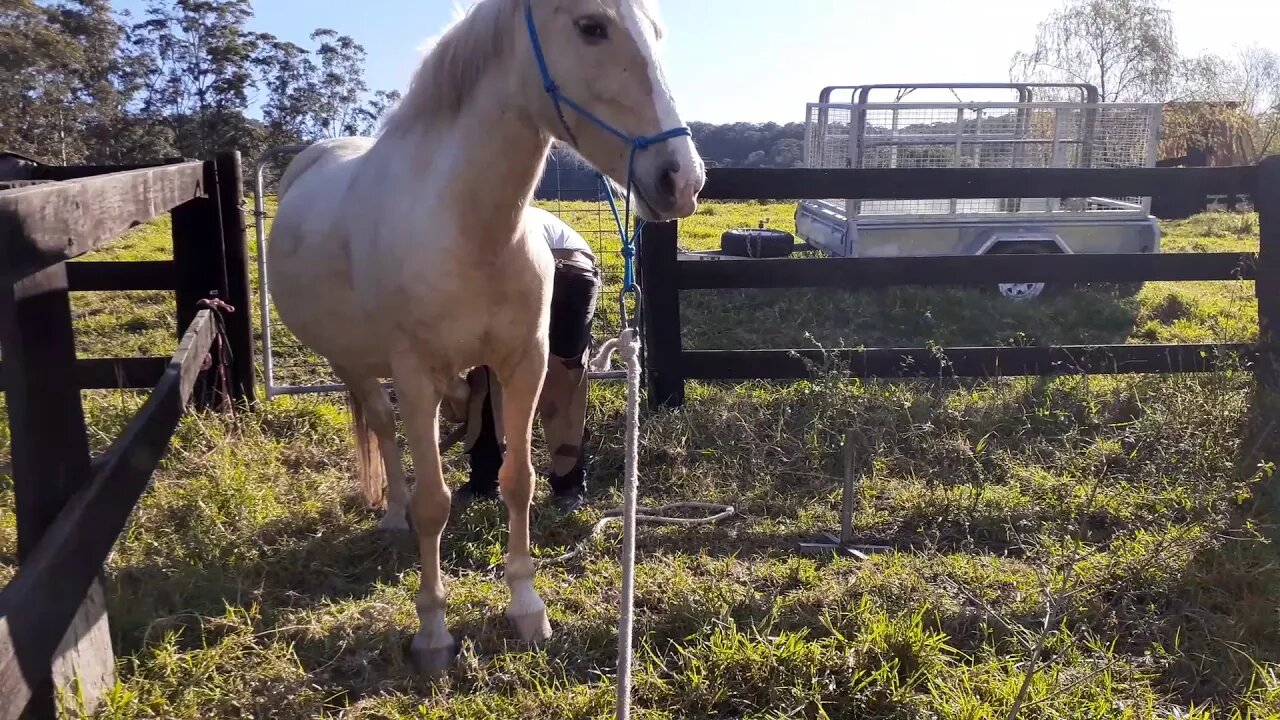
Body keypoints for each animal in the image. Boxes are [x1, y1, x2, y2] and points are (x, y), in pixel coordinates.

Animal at [268, 0, 706, 671]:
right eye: (591, 27)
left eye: (656, 33)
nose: (681, 179)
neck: (467, 228)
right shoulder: (416, 377)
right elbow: (434, 504)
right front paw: (432, 632)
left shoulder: (524, 364)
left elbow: (518, 482)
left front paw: (527, 608)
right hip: (353, 363)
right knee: (383, 429)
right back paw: (392, 514)